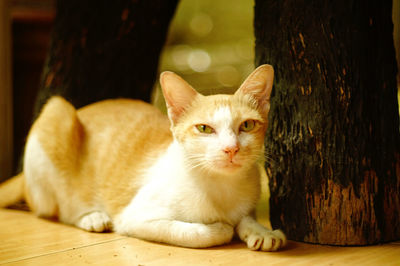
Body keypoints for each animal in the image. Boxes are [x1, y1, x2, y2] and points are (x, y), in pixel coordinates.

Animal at [0, 64, 288, 251]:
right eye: (204, 128)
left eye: (247, 125)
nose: (231, 149)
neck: (221, 188)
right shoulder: (135, 217)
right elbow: (193, 232)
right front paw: (221, 229)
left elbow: (246, 217)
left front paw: (261, 231)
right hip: (56, 114)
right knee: (59, 209)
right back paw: (92, 217)